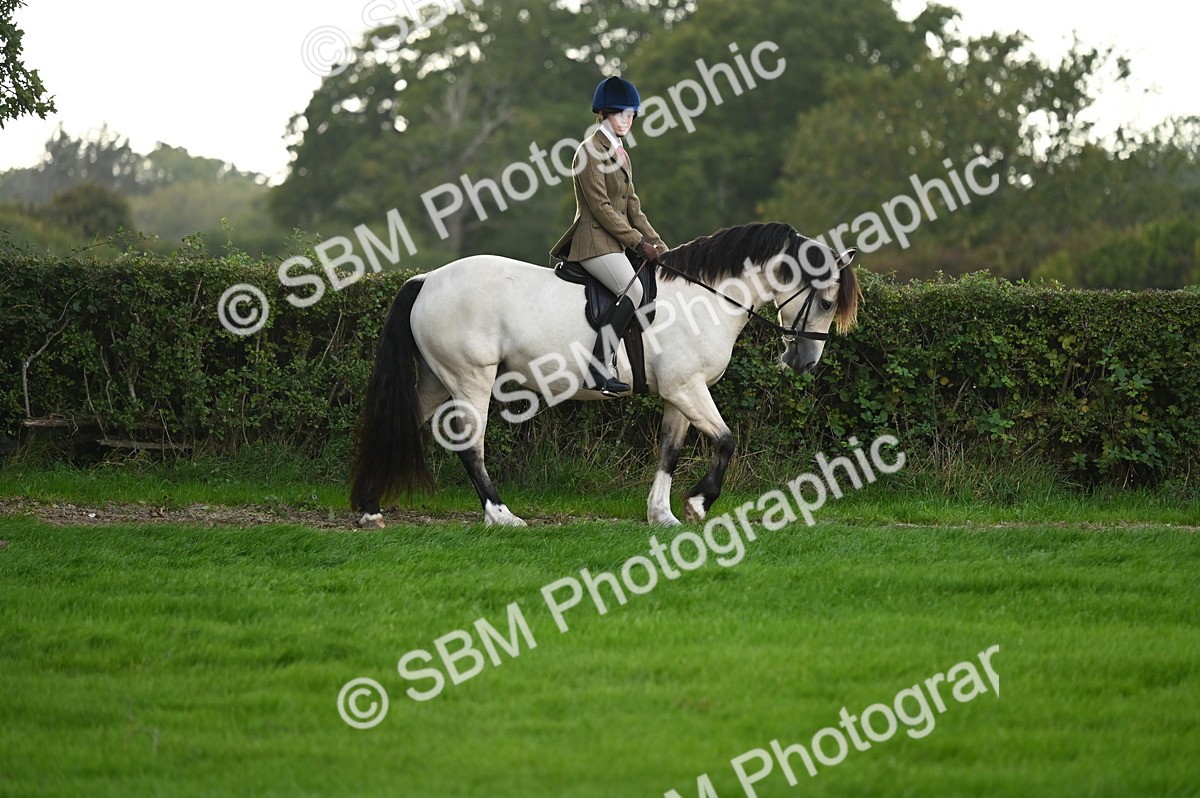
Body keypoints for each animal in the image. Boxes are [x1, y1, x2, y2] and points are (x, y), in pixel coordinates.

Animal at [349, 221, 860, 528]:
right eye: (826, 301)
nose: (806, 362)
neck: (706, 297)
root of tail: (426, 280)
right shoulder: (687, 388)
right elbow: (726, 440)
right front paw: (698, 503)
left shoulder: (678, 393)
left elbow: (670, 450)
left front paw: (662, 515)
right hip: (470, 378)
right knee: (470, 444)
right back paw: (502, 515)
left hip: (438, 381)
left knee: (400, 424)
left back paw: (370, 509)